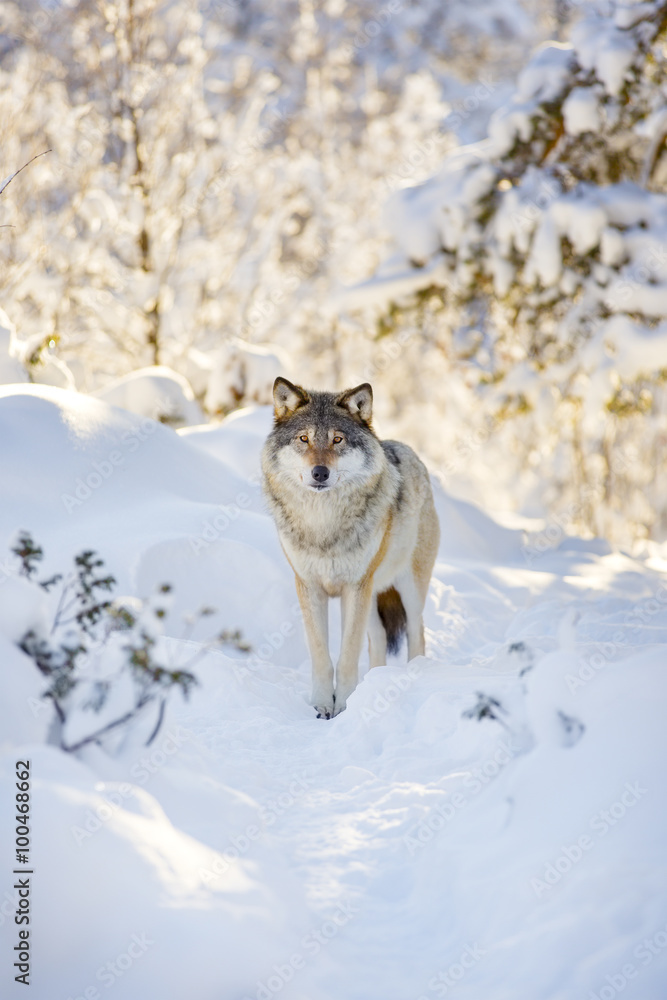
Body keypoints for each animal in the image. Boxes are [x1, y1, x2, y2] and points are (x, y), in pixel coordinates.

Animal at [261, 377, 440, 718]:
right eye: (304, 438)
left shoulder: (354, 588)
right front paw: (321, 705)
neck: (324, 525)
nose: (320, 473)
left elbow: (347, 657)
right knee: (380, 638)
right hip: (372, 596)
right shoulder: (310, 587)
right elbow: (321, 655)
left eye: (337, 440)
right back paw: (375, 681)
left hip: (406, 589)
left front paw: (343, 706)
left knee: (417, 632)